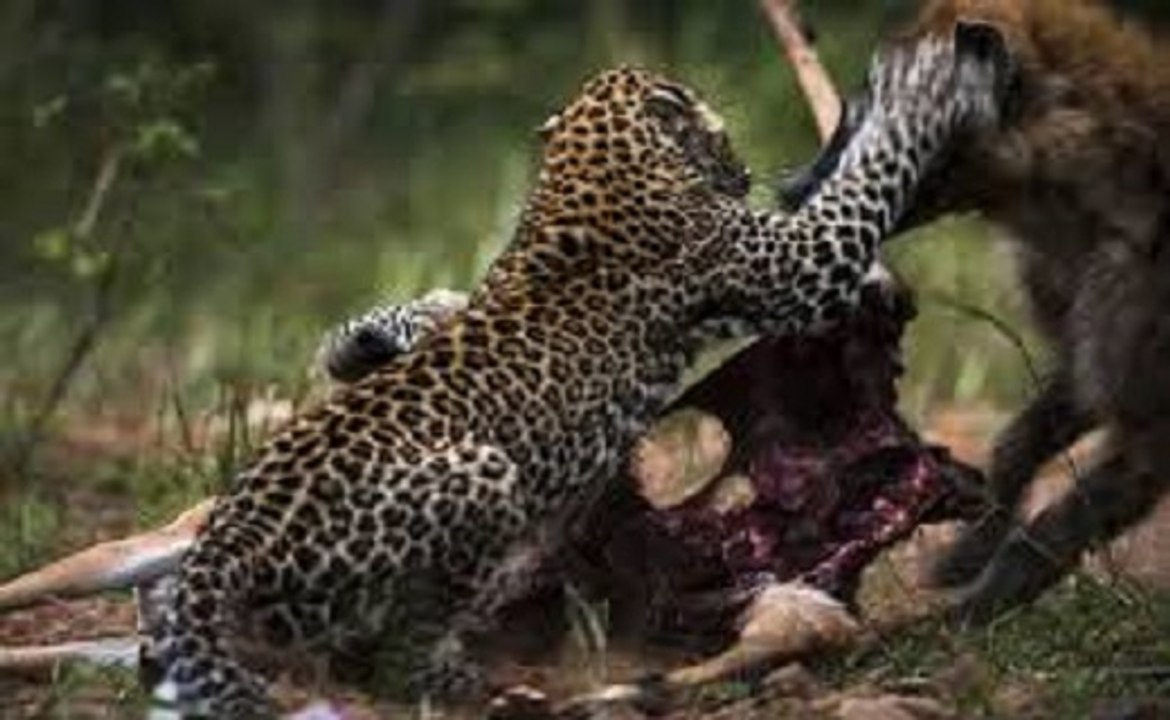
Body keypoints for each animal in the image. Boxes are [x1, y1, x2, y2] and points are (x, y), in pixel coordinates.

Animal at [147, 25, 1010, 719]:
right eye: (722, 137)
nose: (744, 172)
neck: (589, 165)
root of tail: (238, 535)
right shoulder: (784, 263)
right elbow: (861, 186)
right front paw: (923, 91)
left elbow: (434, 312)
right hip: (481, 478)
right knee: (397, 649)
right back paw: (462, 680)